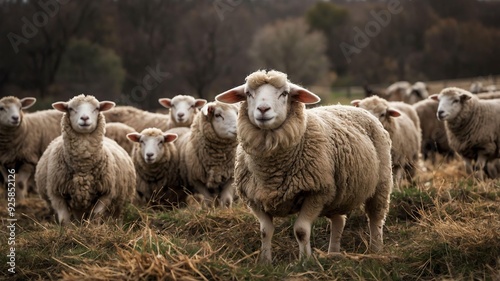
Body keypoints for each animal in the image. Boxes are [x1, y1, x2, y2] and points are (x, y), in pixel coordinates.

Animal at [34, 94, 137, 223]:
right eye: (70, 109)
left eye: (97, 108)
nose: (84, 118)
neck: (83, 165)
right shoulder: (56, 193)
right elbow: (64, 219)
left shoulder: (106, 193)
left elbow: (96, 214)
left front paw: (94, 226)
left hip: (118, 203)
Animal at [217, 69, 392, 262]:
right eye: (248, 93)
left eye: (285, 93)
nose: (263, 109)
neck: (270, 171)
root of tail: (350, 106)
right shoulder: (253, 198)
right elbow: (265, 231)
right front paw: (265, 262)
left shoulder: (317, 192)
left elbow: (301, 230)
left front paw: (305, 261)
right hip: (338, 193)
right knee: (339, 221)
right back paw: (333, 253)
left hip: (381, 184)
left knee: (376, 219)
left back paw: (376, 250)